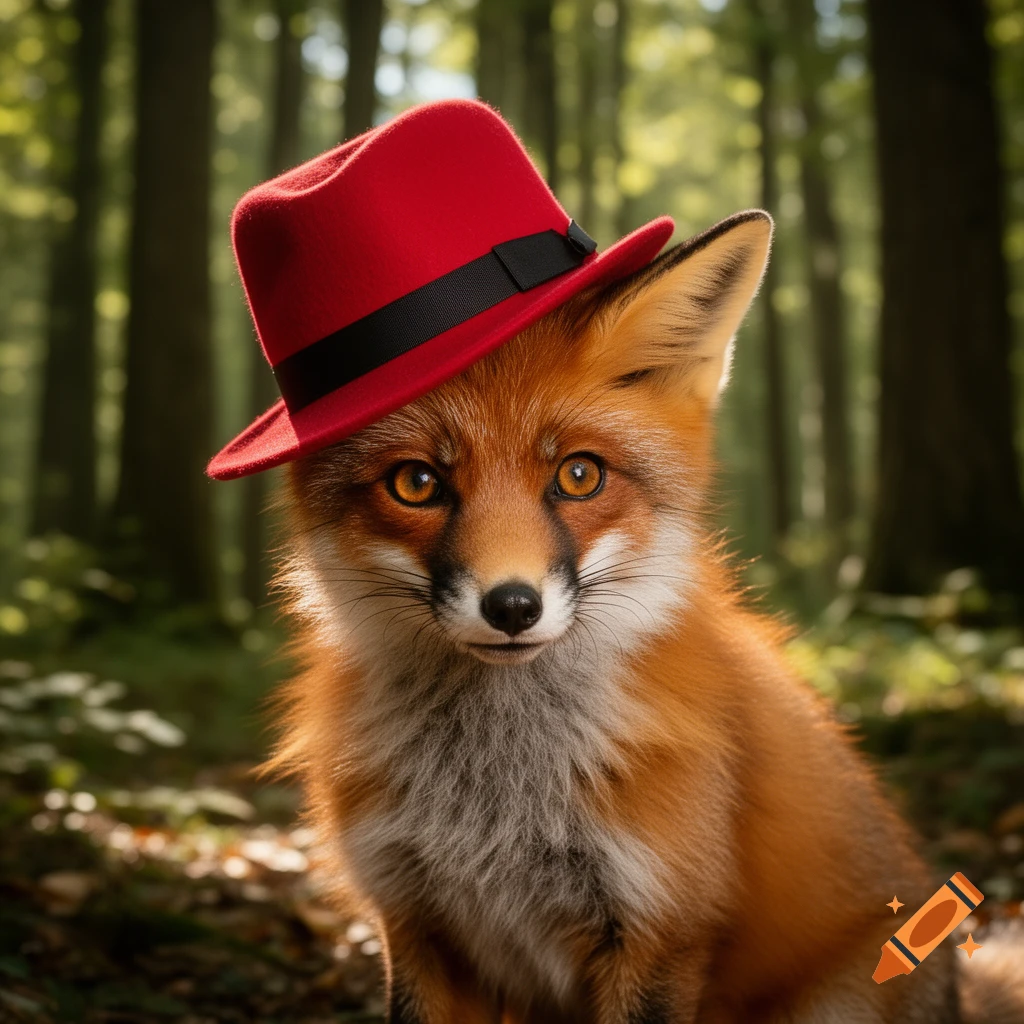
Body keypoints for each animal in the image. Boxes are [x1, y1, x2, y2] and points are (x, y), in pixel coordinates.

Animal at [267, 210, 1024, 1023]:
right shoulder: (415, 923)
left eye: (578, 474)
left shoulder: (662, 929)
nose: (512, 606)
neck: (496, 796)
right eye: (416, 483)